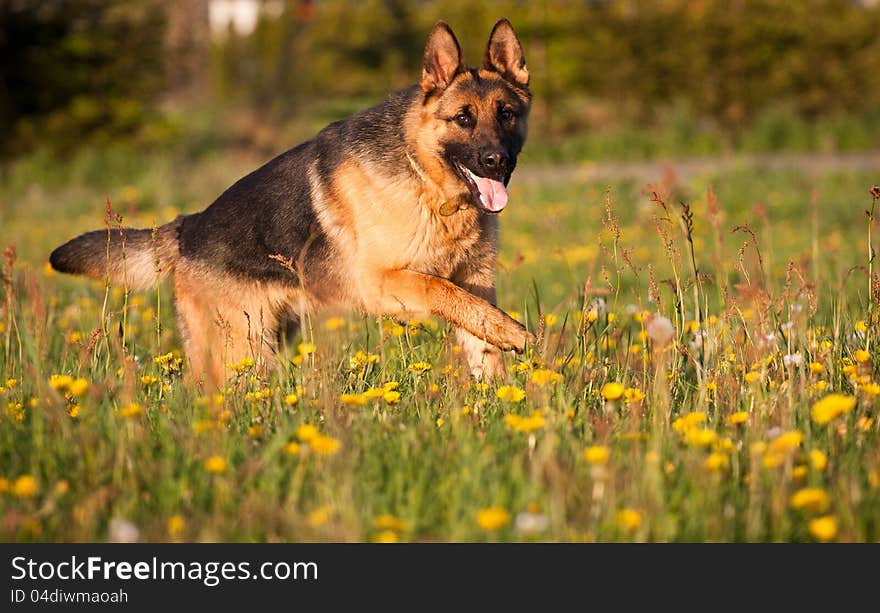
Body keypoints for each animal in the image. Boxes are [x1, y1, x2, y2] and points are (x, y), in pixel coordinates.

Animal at [51, 20, 532, 388]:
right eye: (463, 118)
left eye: (506, 114)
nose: (497, 161)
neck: (428, 181)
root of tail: (188, 226)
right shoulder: (383, 282)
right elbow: (442, 289)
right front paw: (514, 332)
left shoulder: (475, 281)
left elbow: (477, 327)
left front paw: (500, 401)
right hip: (240, 352)